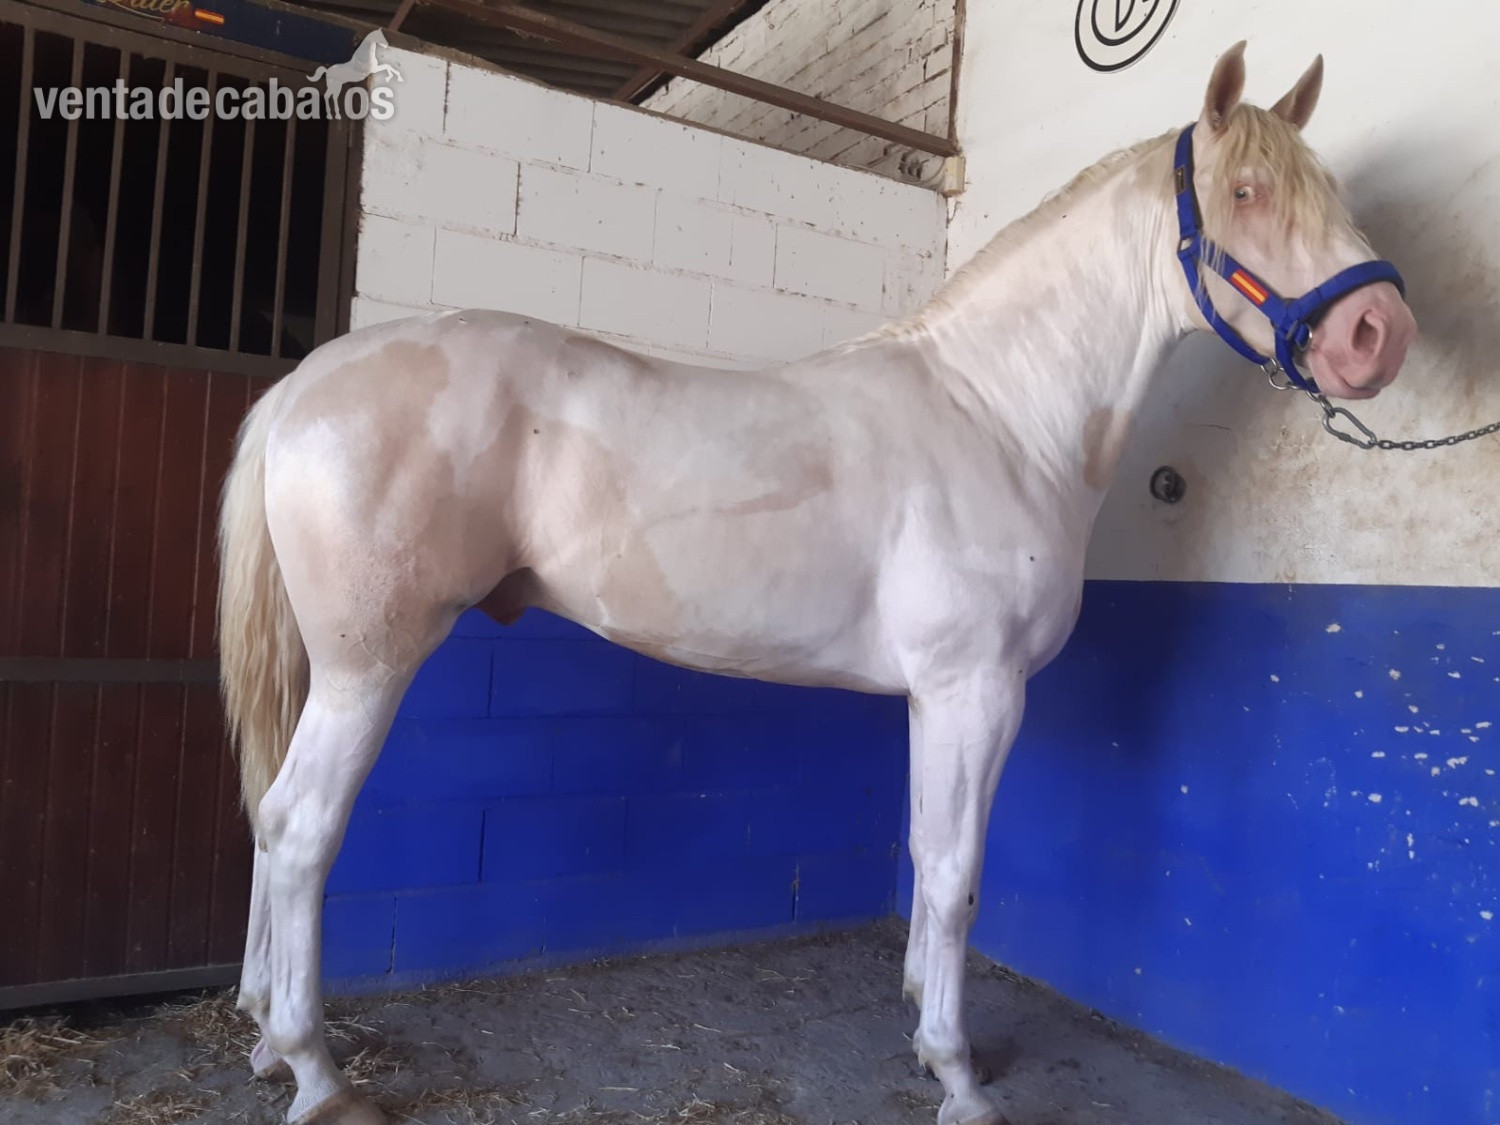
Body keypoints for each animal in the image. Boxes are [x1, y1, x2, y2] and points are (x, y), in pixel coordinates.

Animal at [216, 42, 1417, 1125]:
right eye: (1247, 191)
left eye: (1330, 189)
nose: (1379, 333)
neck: (1003, 413)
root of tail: (307, 386)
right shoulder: (979, 691)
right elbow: (957, 873)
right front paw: (961, 1077)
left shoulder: (939, 697)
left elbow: (928, 856)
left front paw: (926, 1028)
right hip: (371, 666)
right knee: (301, 828)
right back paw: (318, 1074)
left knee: (269, 818)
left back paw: (269, 1042)